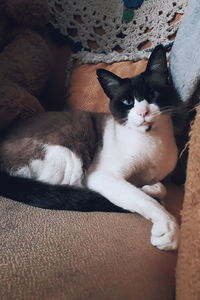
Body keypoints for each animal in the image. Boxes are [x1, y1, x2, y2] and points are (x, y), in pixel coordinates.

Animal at [0, 45, 183, 251]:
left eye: (152, 95)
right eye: (127, 102)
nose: (143, 113)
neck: (151, 139)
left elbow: (158, 188)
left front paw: (151, 188)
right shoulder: (102, 176)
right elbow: (143, 199)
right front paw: (169, 229)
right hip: (70, 157)